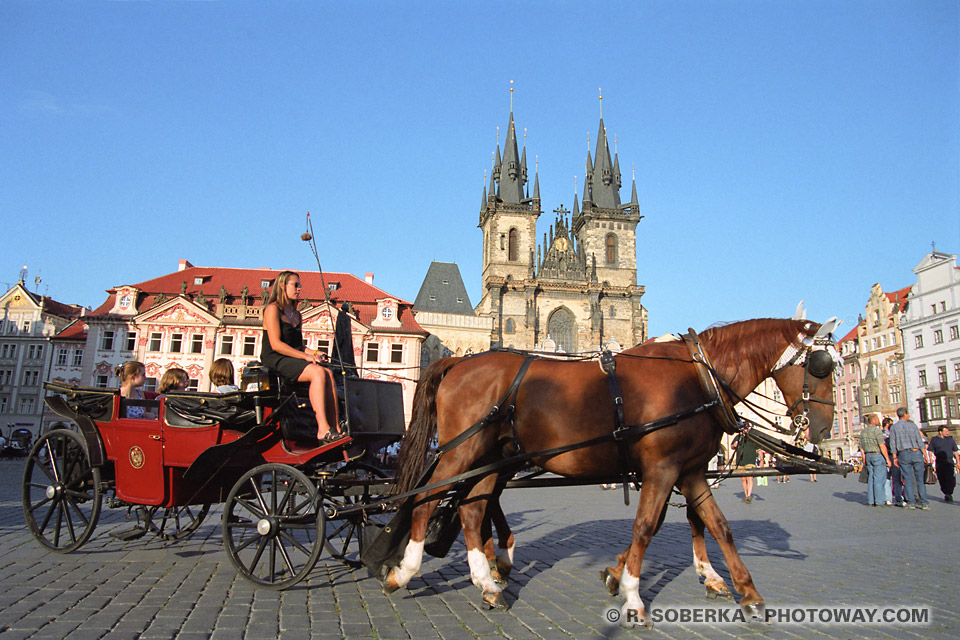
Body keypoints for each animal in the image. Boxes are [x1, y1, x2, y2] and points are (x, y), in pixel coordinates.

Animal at [378, 318, 836, 628]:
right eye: (819, 365)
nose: (823, 430)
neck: (697, 378)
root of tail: (457, 362)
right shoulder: (663, 469)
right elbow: (647, 526)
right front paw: (632, 595)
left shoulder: (689, 472)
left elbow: (717, 525)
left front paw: (746, 592)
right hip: (461, 453)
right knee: (427, 499)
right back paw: (405, 571)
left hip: (491, 459)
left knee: (473, 510)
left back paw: (488, 583)